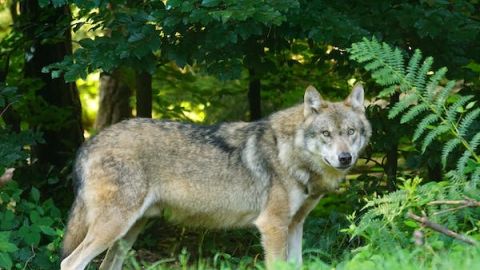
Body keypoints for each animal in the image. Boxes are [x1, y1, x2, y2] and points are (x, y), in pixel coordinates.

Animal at [58, 83, 370, 268]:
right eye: (326, 133)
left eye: (350, 132)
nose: (345, 158)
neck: (289, 153)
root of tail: (89, 143)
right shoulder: (272, 226)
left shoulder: (294, 225)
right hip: (113, 227)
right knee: (69, 263)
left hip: (129, 231)